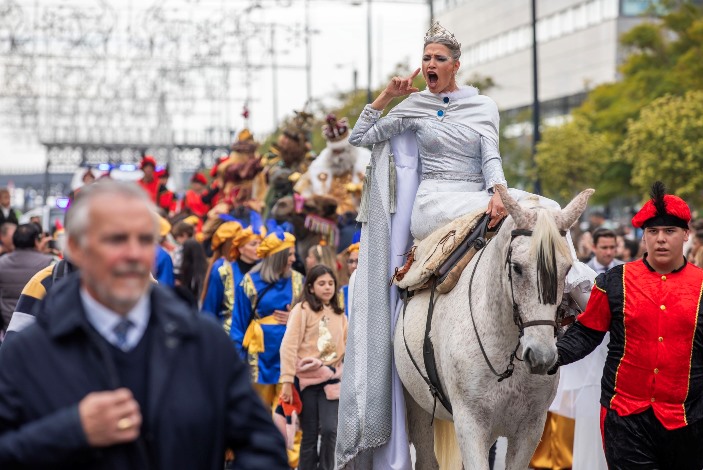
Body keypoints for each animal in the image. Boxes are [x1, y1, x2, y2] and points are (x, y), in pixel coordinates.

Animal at [396, 186, 592, 470]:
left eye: (567, 270)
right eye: (516, 267)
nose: (542, 356)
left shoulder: (530, 430)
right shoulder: (470, 426)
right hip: (419, 410)